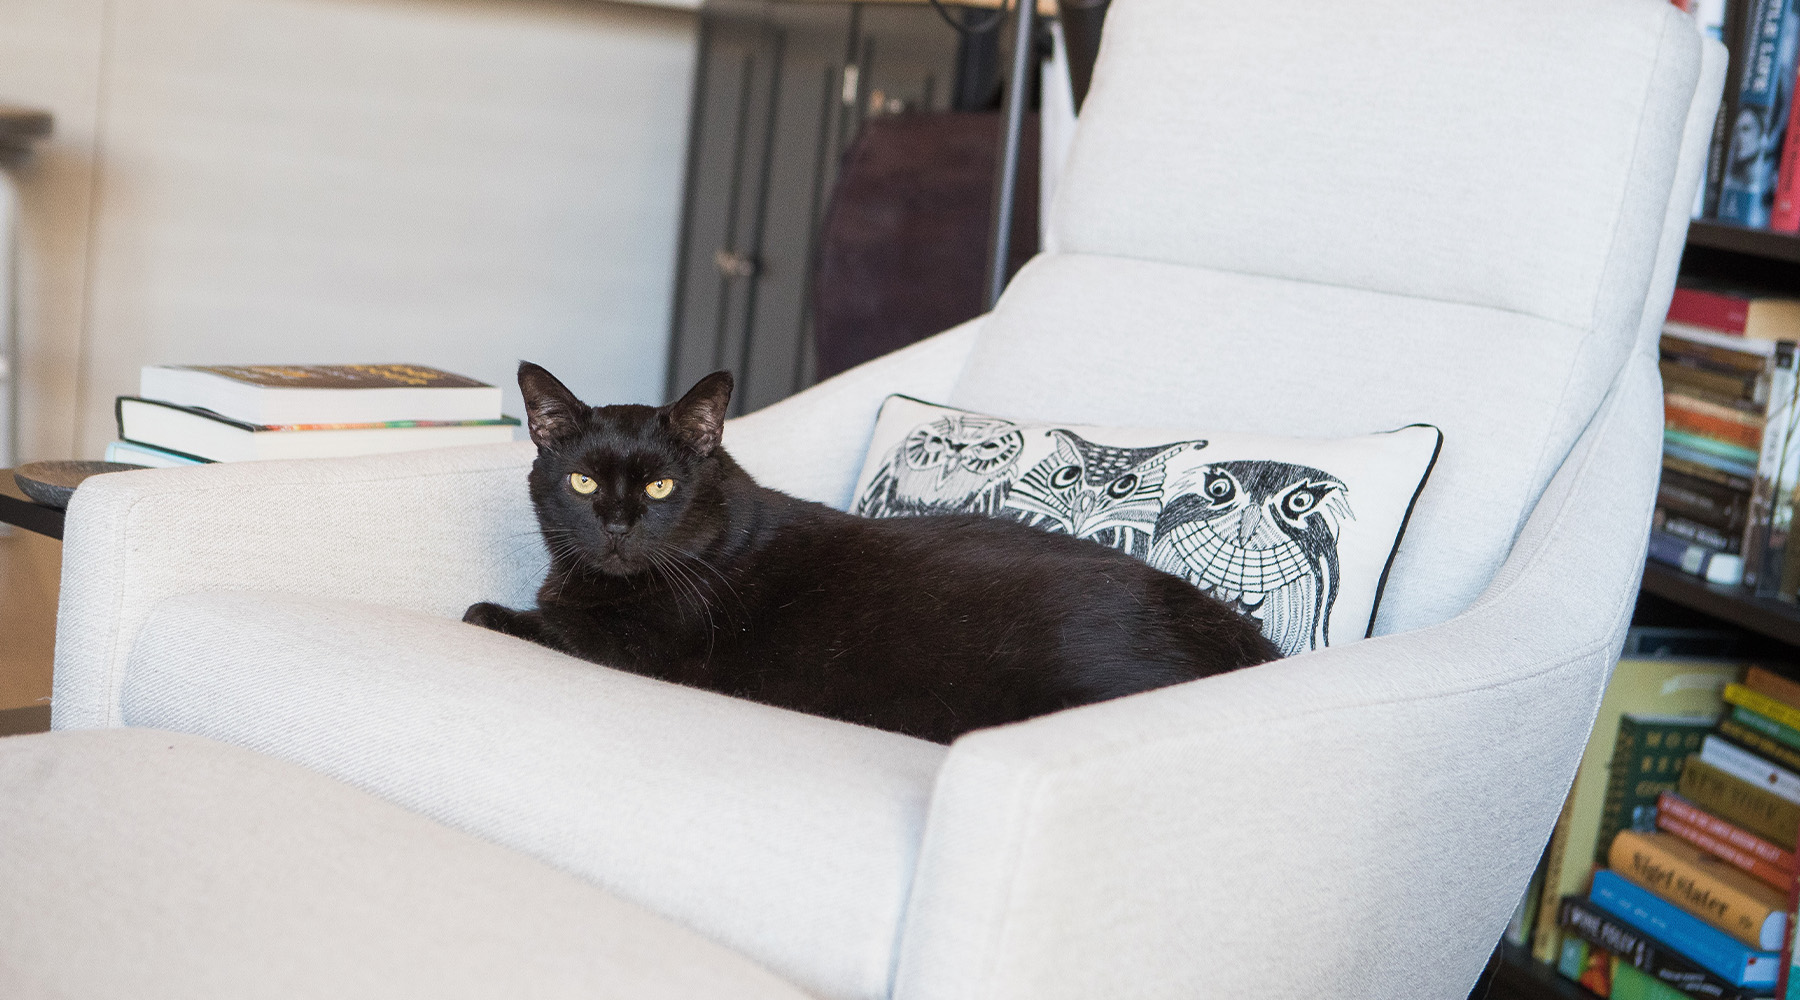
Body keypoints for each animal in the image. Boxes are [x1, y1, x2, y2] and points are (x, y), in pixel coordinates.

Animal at [464, 365, 1281, 741]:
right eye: (582, 481)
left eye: (661, 485)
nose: (617, 524)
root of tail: (1252, 646)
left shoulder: (637, 651)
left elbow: (531, 622)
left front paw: (494, 611)